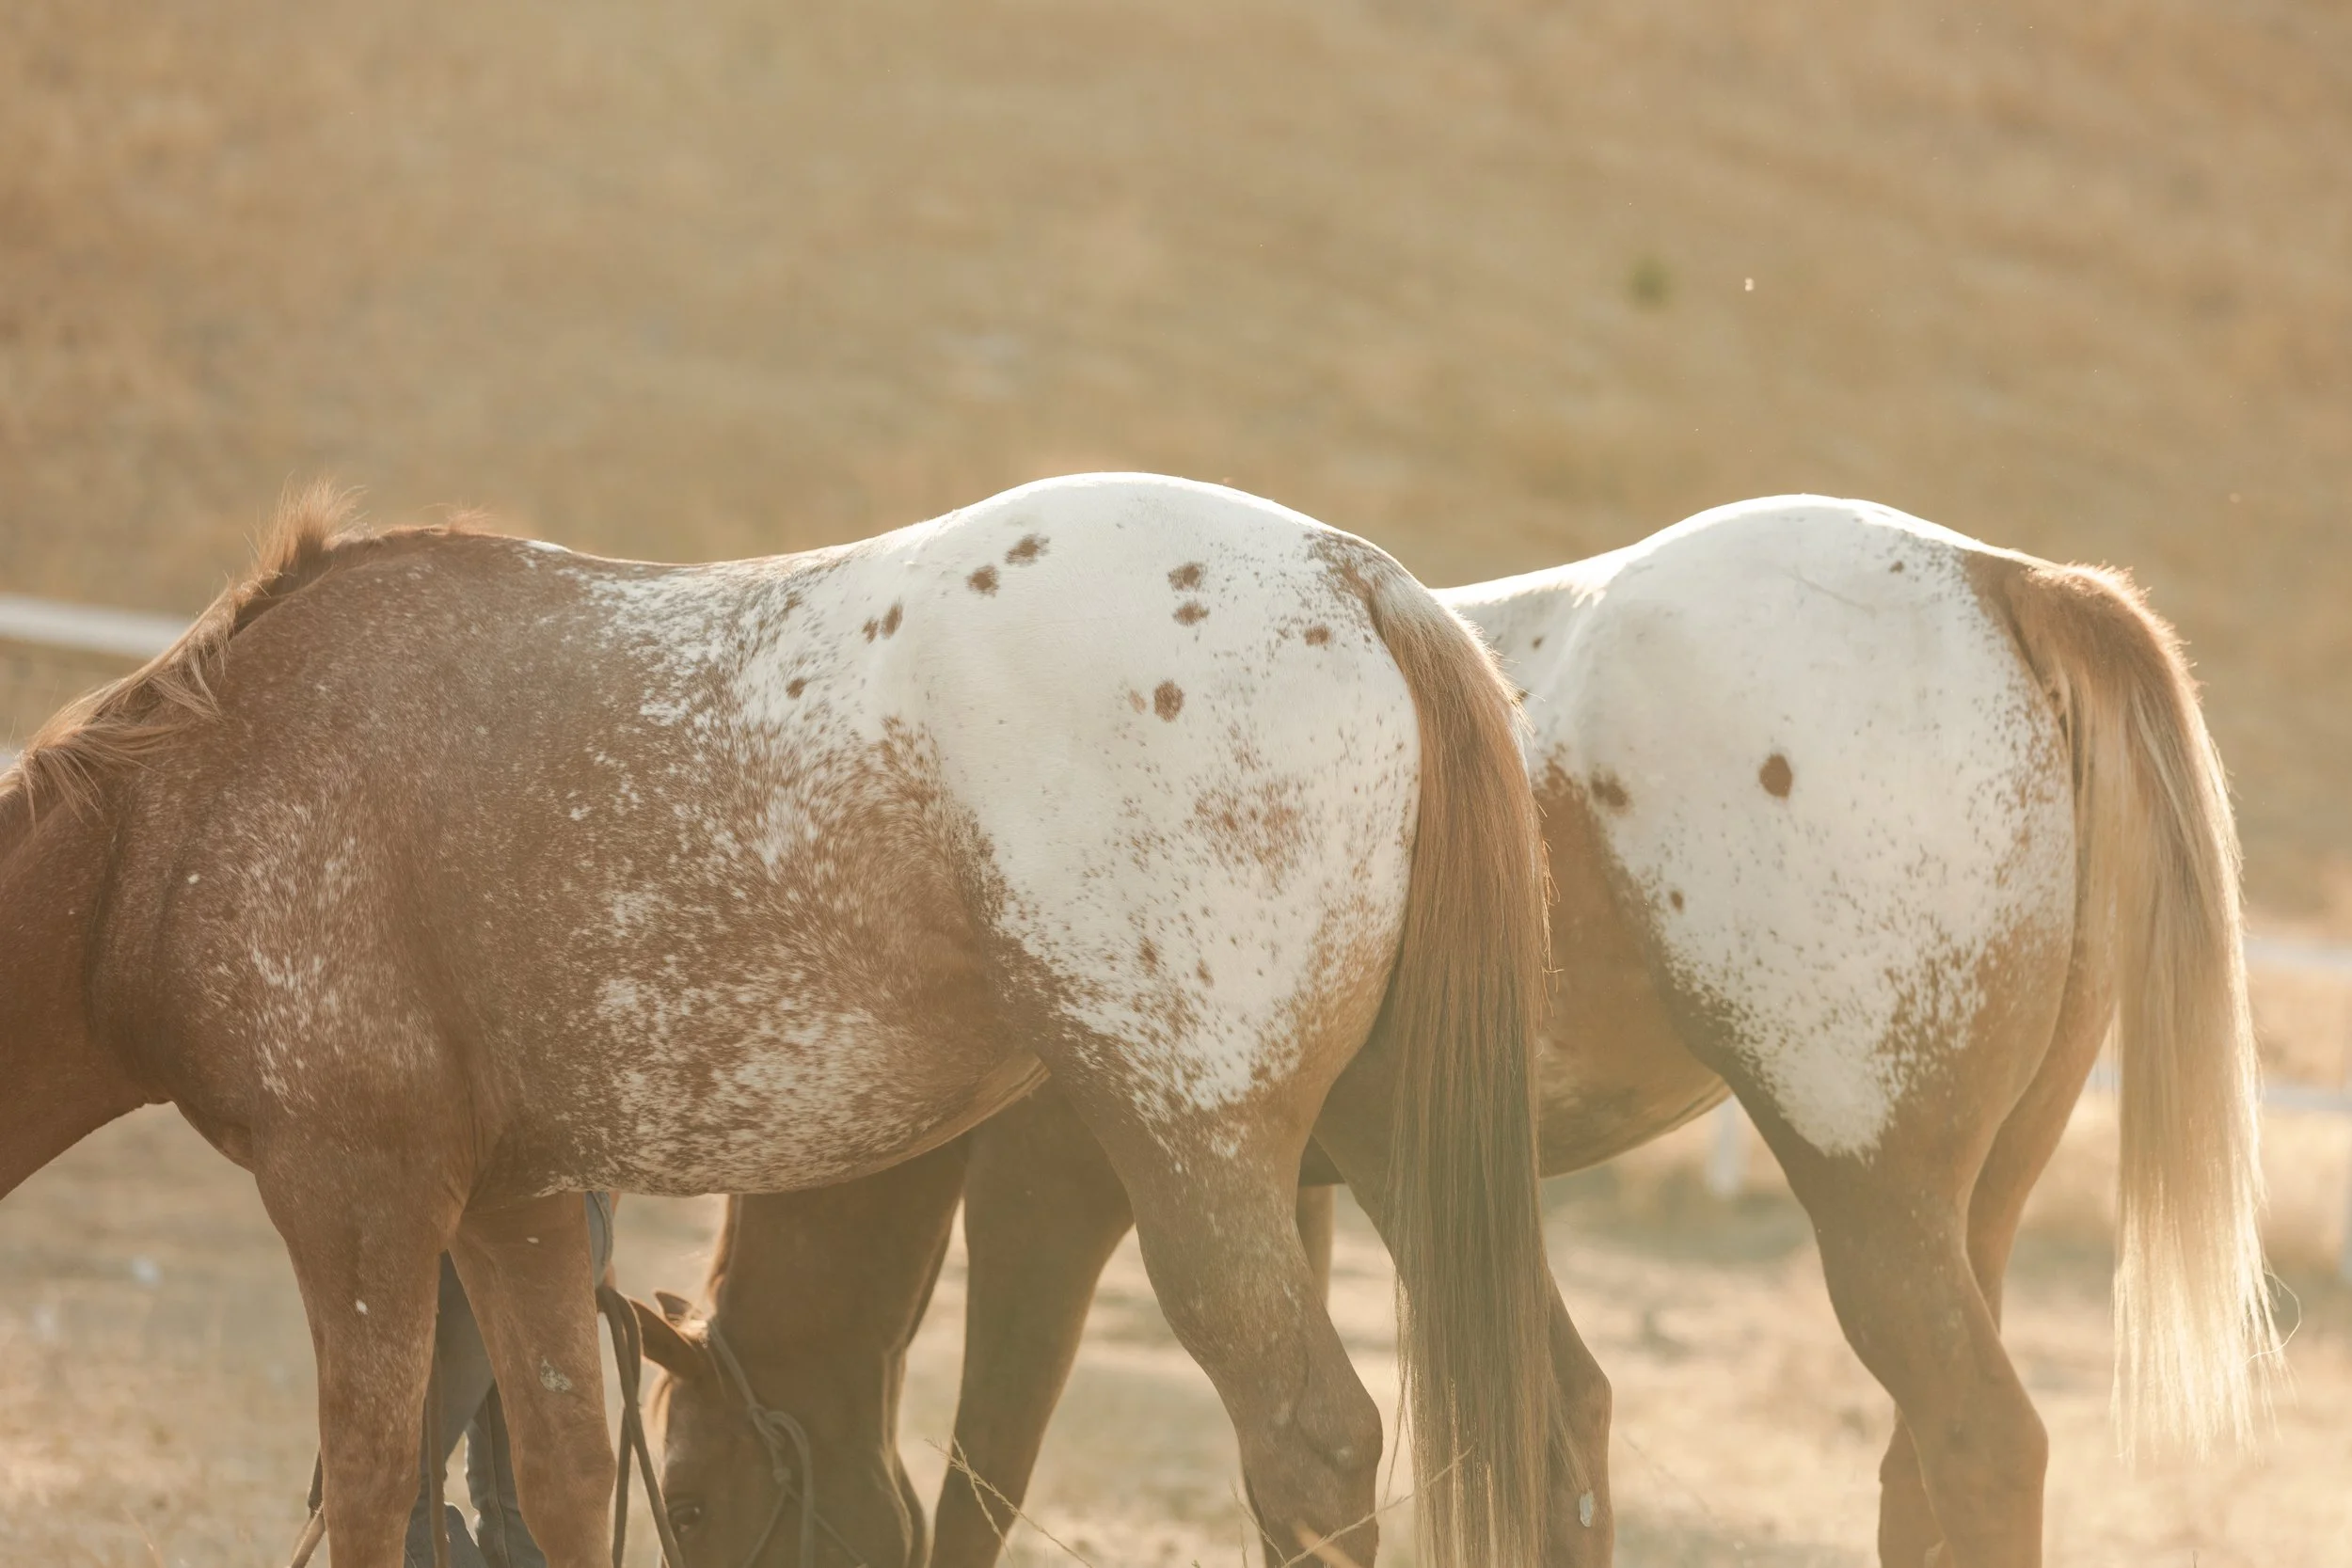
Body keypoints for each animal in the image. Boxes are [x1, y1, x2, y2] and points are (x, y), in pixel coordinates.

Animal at [0, 473, 1579, 1568]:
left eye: (706, 1503)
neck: (194, 802)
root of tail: (1356, 578)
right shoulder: (515, 1202)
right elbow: (564, 1469)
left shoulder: (357, 1194)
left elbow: (375, 1475)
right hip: (1395, 1155)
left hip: (1199, 1159)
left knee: (1311, 1441)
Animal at [636, 495, 2280, 1568]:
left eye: (697, 1502)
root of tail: (2003, 581)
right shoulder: (1318, 1188)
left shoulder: (1064, 1187)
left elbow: (989, 1464)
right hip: (1974, 1200)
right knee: (1918, 1464)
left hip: (1869, 1187)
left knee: (1982, 1443)